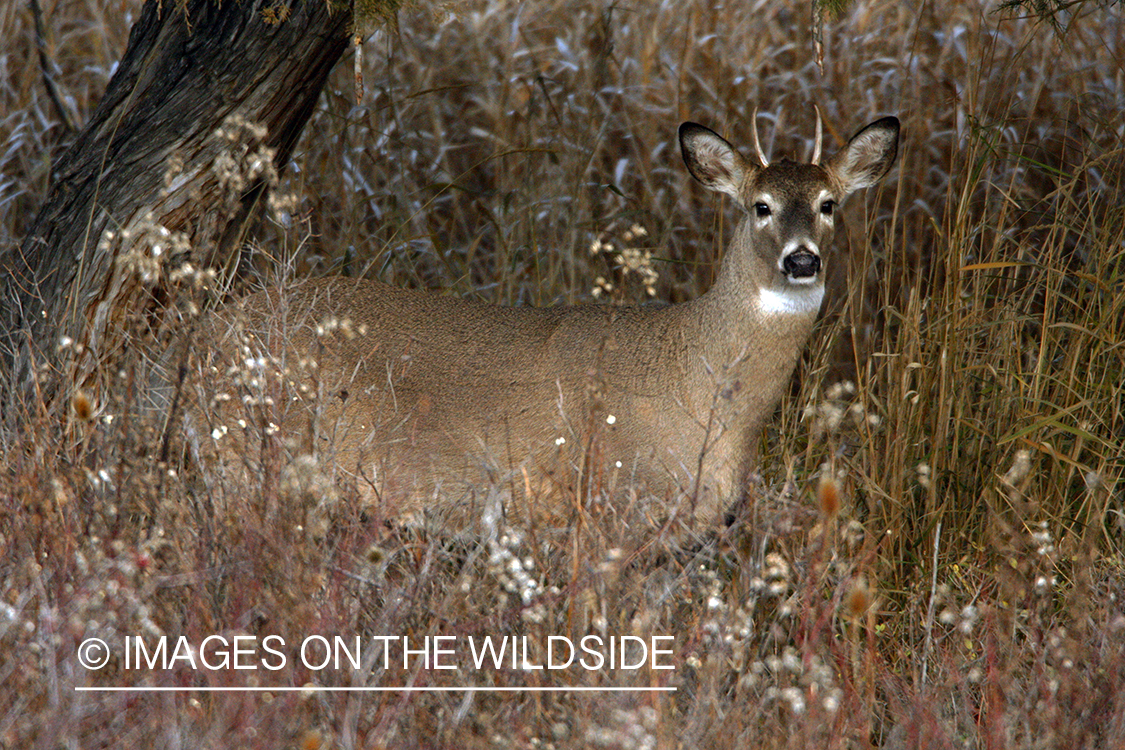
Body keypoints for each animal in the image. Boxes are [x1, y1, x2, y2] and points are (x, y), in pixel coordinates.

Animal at [189, 111, 900, 530]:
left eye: (829, 203)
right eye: (760, 206)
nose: (802, 259)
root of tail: (207, 334)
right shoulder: (589, 510)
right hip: (239, 459)